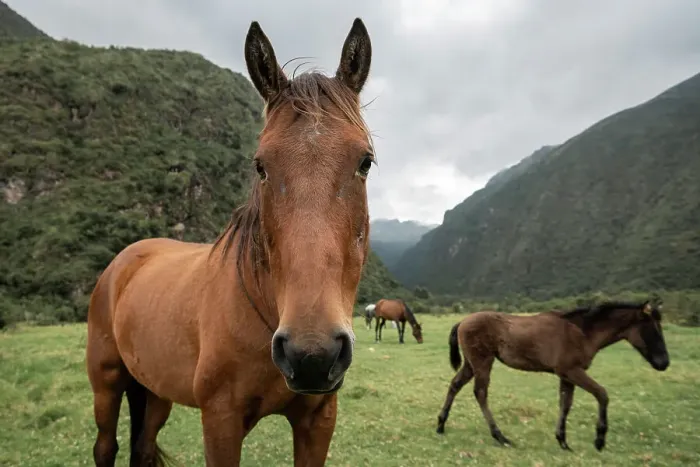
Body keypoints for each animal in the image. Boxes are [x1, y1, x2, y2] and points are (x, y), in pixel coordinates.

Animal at [86, 18, 375, 467]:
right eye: (260, 166)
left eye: (365, 162)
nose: (312, 354)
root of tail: (124, 261)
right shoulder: (220, 420)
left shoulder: (318, 419)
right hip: (106, 384)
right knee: (105, 447)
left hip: (155, 392)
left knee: (144, 447)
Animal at [436, 301, 670, 452]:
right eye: (654, 330)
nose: (664, 363)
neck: (582, 332)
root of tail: (462, 322)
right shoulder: (572, 371)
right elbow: (602, 394)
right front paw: (599, 439)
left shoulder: (566, 375)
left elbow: (565, 403)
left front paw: (563, 441)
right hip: (483, 362)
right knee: (481, 392)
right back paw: (500, 436)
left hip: (471, 364)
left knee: (455, 385)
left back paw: (440, 425)